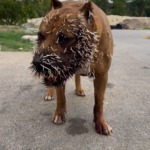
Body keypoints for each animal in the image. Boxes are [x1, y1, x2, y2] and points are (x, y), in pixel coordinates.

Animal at [30, 0, 112, 135]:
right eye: (39, 36)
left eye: (65, 38)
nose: (37, 63)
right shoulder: (59, 74)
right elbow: (61, 98)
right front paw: (59, 114)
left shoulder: (102, 75)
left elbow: (99, 102)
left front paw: (101, 122)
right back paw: (50, 92)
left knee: (77, 77)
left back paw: (79, 89)